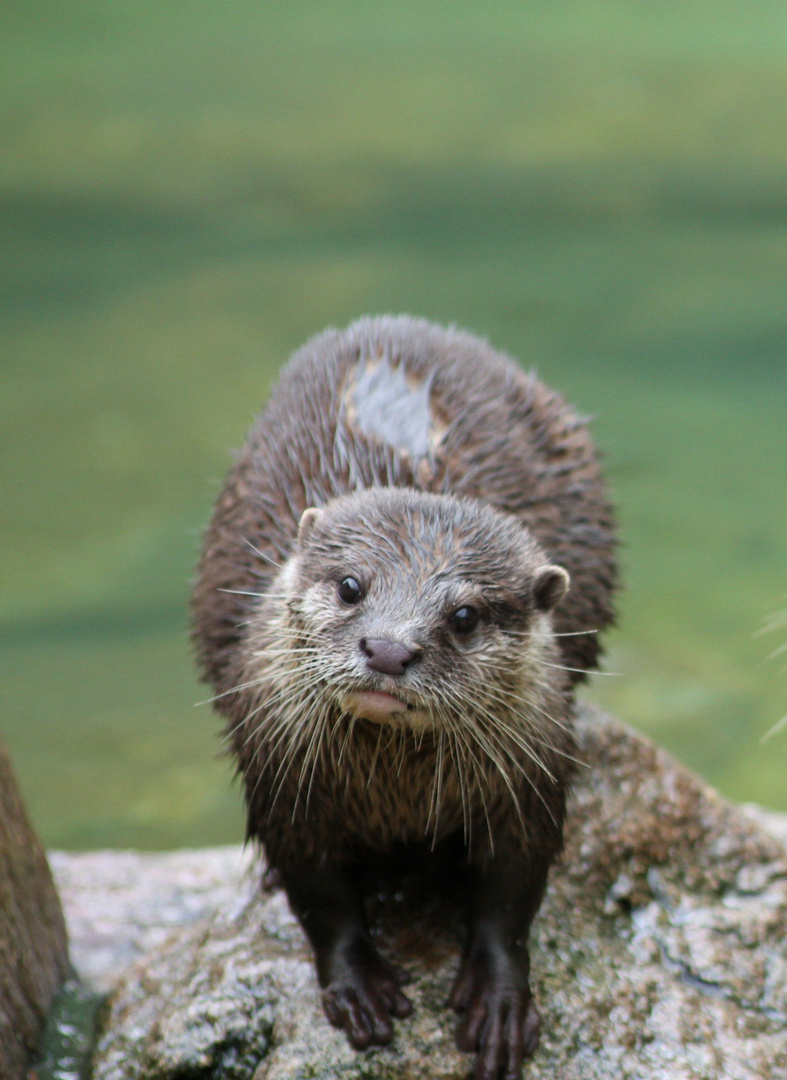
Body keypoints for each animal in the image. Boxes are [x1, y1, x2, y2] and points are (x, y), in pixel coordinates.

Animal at [190, 315, 613, 1075]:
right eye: (351, 585)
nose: (388, 649)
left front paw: (499, 1001)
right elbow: (317, 894)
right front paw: (357, 984)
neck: (397, 795)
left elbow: (512, 896)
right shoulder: (282, 773)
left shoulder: (532, 770)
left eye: (465, 616)